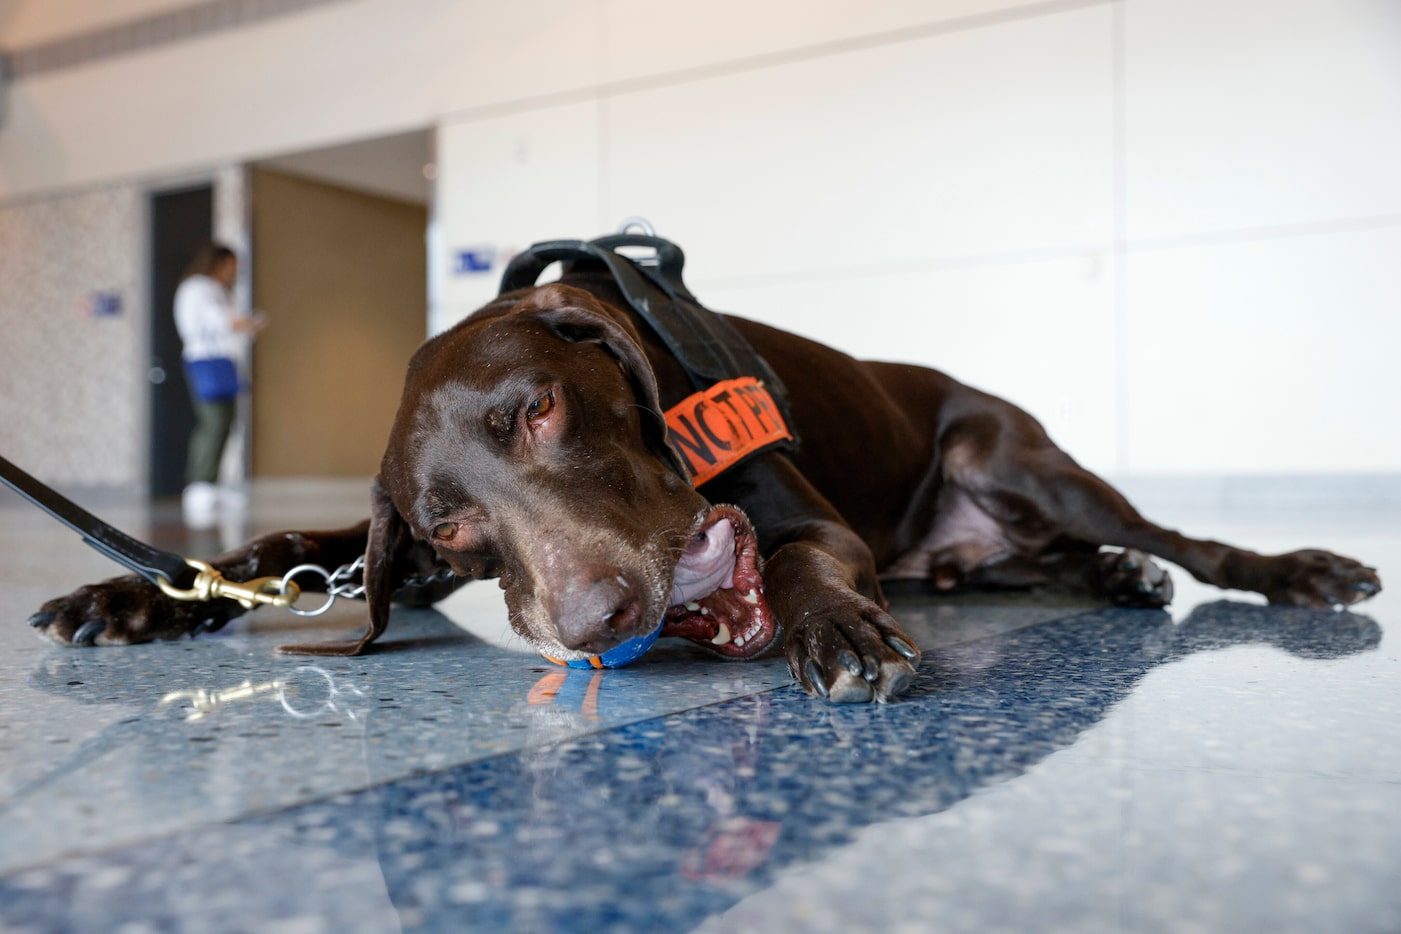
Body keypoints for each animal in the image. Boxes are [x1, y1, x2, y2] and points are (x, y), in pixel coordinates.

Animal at [30, 259, 1378, 705]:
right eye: (450, 531)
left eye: (540, 409)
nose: (599, 617)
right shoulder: (394, 553)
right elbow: (279, 555)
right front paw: (136, 597)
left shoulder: (803, 518)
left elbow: (798, 554)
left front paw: (834, 633)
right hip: (965, 544)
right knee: (1019, 565)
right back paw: (1115, 577)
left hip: (1013, 453)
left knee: (1185, 537)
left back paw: (1277, 565)